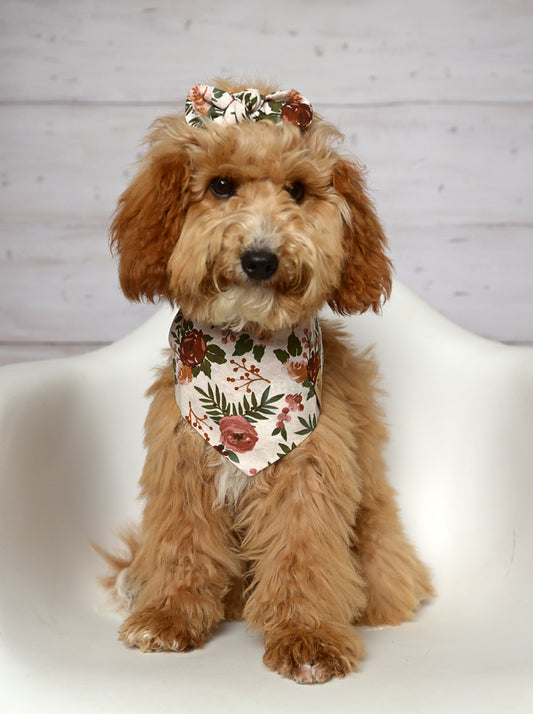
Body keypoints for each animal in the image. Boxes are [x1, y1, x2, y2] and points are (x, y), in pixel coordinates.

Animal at [100, 80, 432, 680]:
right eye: (221, 186)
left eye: (297, 191)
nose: (260, 259)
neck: (244, 358)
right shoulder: (182, 465)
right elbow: (182, 547)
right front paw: (167, 617)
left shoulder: (308, 473)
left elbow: (304, 556)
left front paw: (308, 636)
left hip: (376, 528)